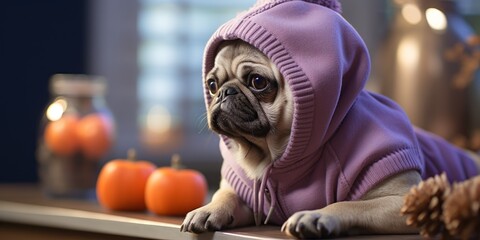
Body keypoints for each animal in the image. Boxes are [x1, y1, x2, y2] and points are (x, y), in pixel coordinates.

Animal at [179, 0, 480, 238]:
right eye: (212, 85)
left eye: (257, 82)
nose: (225, 92)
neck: (270, 155)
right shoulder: (244, 193)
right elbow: (225, 196)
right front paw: (208, 209)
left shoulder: (404, 201)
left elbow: (348, 204)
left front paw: (316, 215)